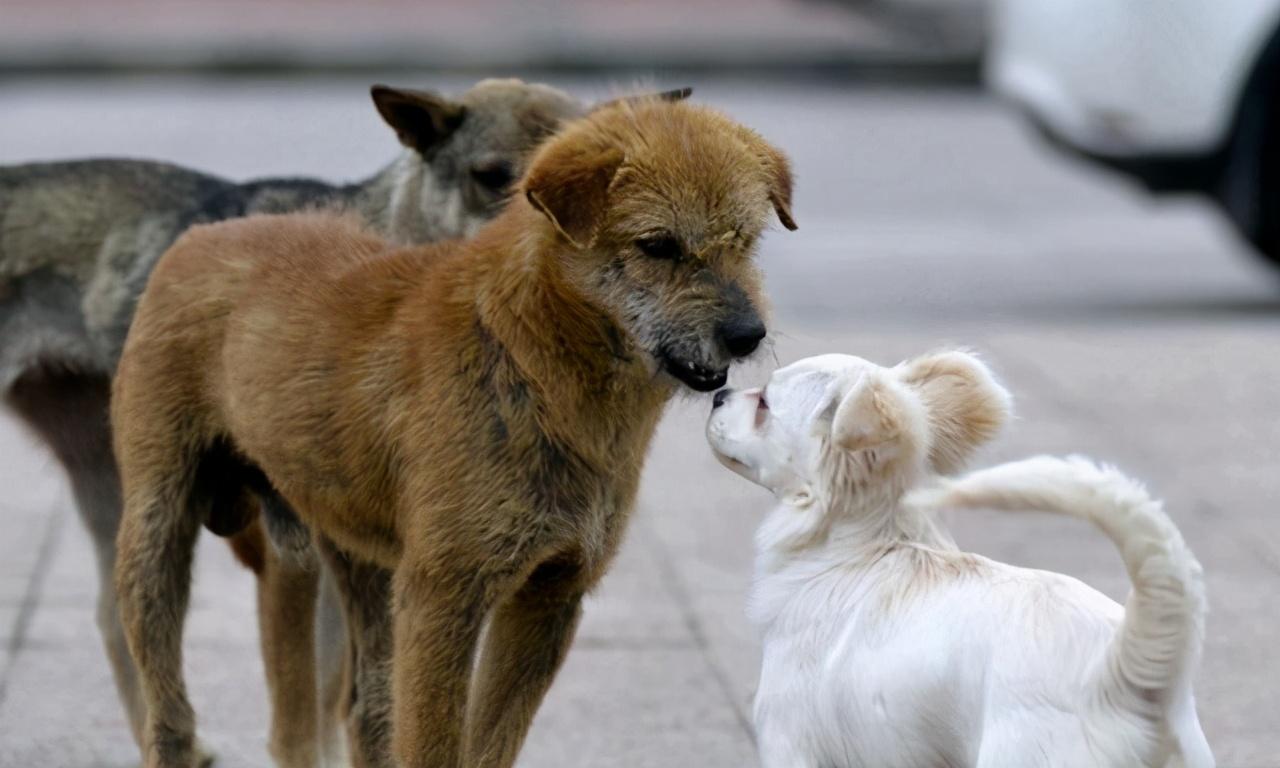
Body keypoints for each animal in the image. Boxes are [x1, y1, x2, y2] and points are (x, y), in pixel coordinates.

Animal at [0, 78, 586, 768]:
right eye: (490, 177)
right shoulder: (293, 563)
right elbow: (302, 717)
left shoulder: (362, 569)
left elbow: (346, 705)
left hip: (108, 474)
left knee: (116, 622)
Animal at [110, 96, 793, 768]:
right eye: (657, 245)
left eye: (746, 240)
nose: (747, 335)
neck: (526, 356)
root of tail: (199, 236)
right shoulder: (444, 597)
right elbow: (434, 744)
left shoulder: (549, 596)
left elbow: (489, 743)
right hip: (157, 535)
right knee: (169, 713)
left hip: (352, 559)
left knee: (366, 711)